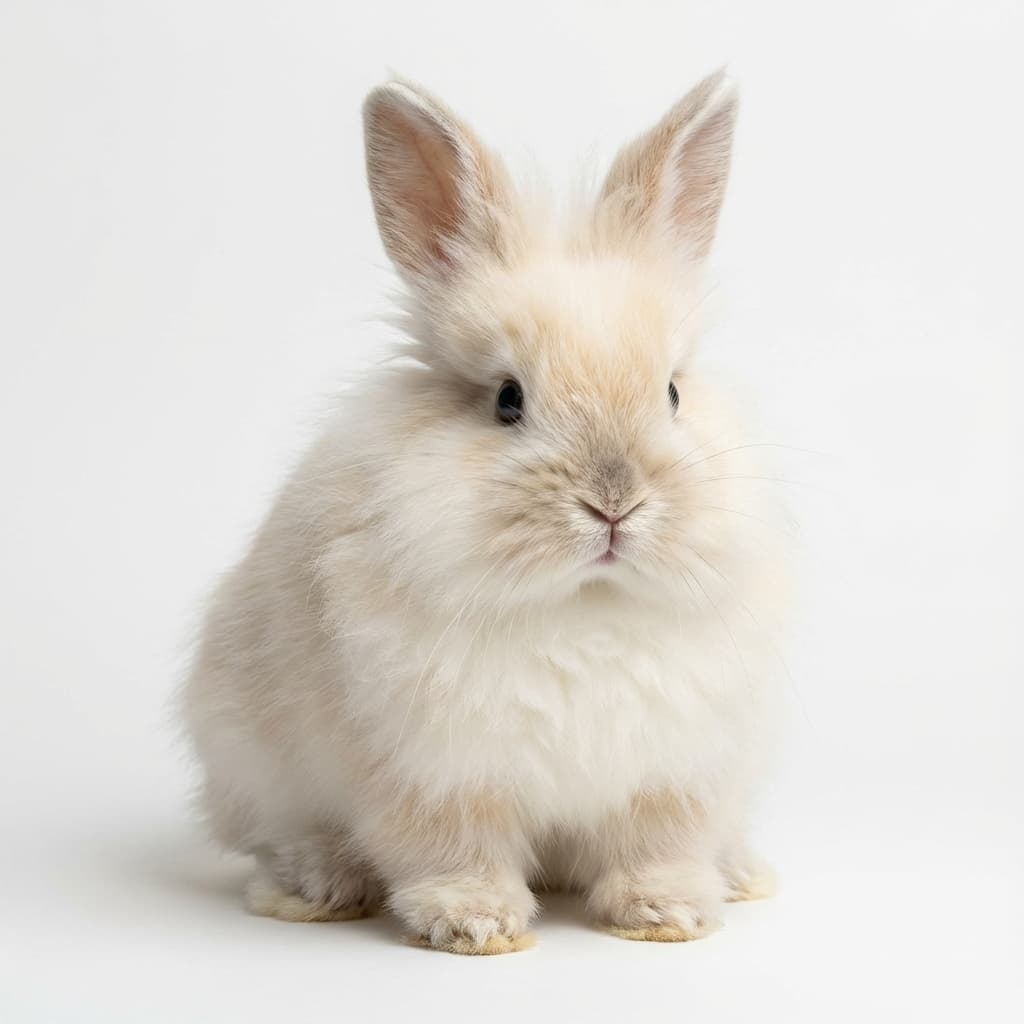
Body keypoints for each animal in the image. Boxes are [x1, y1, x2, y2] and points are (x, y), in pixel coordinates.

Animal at [182, 68, 787, 955]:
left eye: (673, 393)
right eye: (508, 399)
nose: (614, 503)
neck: (582, 608)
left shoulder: (673, 774)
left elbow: (657, 845)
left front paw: (667, 913)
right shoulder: (431, 772)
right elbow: (453, 848)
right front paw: (476, 924)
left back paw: (741, 875)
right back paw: (319, 887)